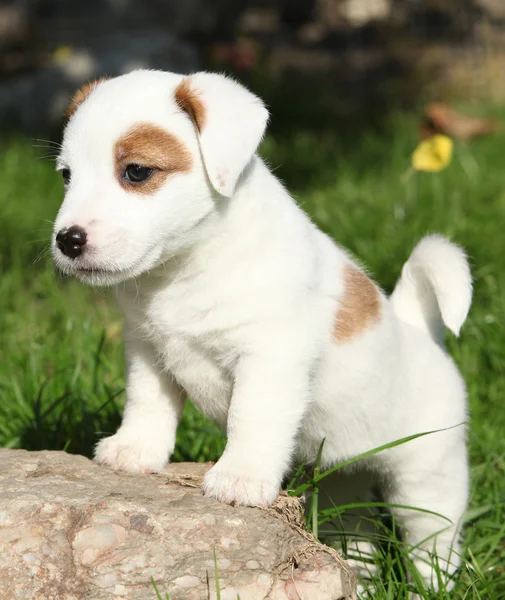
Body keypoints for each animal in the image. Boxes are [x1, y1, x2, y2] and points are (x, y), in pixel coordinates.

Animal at [50, 71, 468, 592]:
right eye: (66, 175)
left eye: (137, 172)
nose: (67, 240)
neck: (185, 268)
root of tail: (419, 329)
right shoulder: (146, 347)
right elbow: (147, 402)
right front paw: (135, 449)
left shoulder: (270, 358)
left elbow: (250, 417)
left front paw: (240, 478)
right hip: (340, 484)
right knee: (356, 532)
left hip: (427, 481)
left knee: (434, 544)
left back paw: (431, 587)